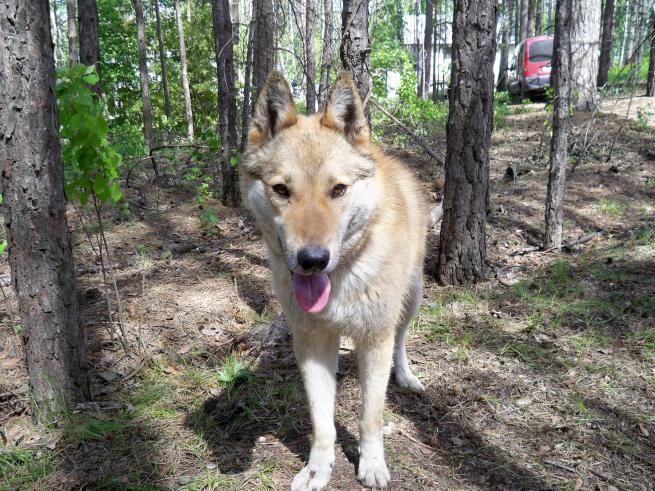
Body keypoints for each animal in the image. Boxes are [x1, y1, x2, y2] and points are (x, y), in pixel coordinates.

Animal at [241, 71, 428, 490]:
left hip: (410, 300)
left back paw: (406, 375)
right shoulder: (310, 342)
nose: (312, 260)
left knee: (401, 340)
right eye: (281, 190)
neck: (342, 276)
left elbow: (370, 416)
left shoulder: (375, 339)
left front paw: (372, 464)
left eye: (338, 189)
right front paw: (317, 469)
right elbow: (322, 422)